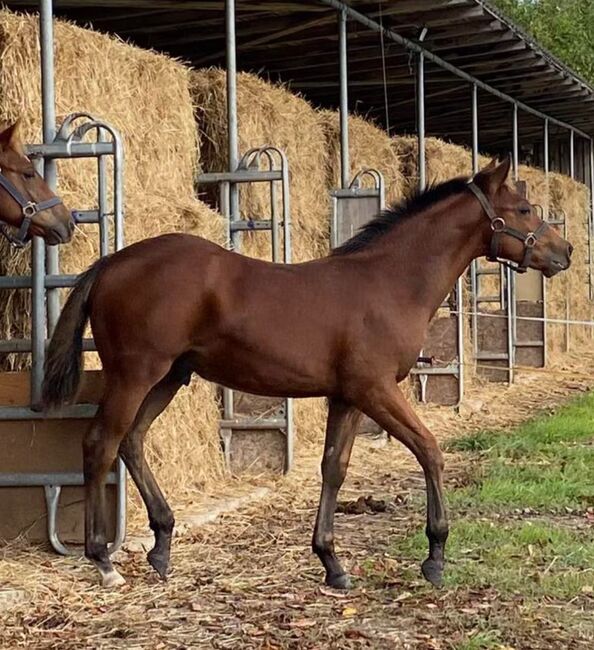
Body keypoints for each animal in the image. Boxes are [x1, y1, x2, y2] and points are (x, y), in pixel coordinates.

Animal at [40, 157, 568, 588]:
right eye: (524, 209)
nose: (563, 253)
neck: (389, 283)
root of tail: (113, 261)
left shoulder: (348, 397)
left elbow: (334, 468)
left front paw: (331, 563)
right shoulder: (376, 390)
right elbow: (430, 451)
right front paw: (435, 555)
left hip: (169, 378)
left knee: (131, 441)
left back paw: (162, 547)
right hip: (135, 375)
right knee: (101, 444)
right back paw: (103, 561)